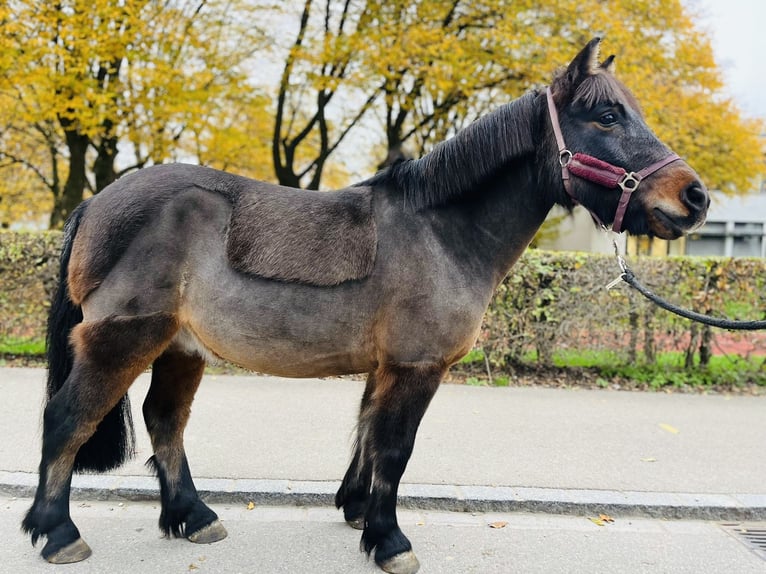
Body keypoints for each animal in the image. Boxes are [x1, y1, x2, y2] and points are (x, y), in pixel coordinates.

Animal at [22, 38, 708, 572]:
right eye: (608, 114)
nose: (694, 197)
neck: (440, 230)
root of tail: (96, 203)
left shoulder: (386, 368)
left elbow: (367, 438)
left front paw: (357, 511)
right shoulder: (416, 367)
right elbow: (395, 449)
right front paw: (390, 539)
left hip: (181, 347)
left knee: (165, 421)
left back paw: (191, 516)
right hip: (124, 340)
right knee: (66, 418)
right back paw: (57, 533)